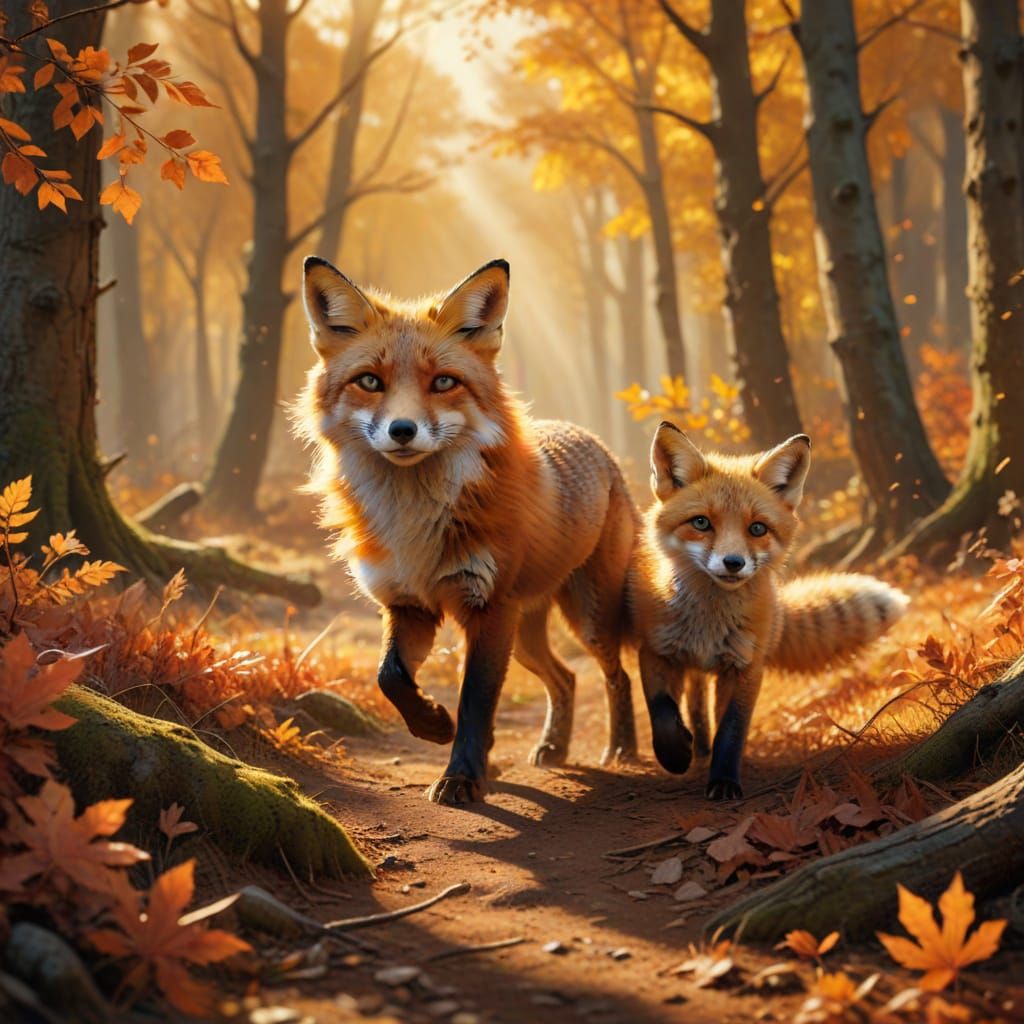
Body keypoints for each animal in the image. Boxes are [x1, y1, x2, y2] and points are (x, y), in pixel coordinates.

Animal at [296, 255, 640, 805]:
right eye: (370, 382)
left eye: (443, 383)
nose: (402, 430)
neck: (414, 523)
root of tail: (588, 437)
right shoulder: (408, 604)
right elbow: (389, 678)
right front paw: (434, 725)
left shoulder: (488, 608)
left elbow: (476, 700)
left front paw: (461, 776)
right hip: (524, 636)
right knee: (565, 679)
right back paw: (551, 747)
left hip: (586, 618)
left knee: (618, 676)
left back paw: (623, 748)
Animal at [629, 422, 908, 800]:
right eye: (701, 523)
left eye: (757, 528)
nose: (734, 563)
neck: (709, 621)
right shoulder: (655, 652)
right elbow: (660, 714)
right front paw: (675, 754)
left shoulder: (747, 666)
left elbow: (731, 731)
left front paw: (724, 780)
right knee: (695, 701)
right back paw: (696, 745)